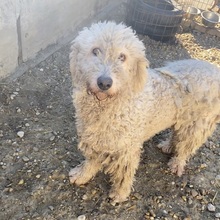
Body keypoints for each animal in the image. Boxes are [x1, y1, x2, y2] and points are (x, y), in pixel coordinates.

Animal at [69, 21, 220, 204]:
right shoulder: (94, 138)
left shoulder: (127, 149)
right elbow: (91, 160)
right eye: (95, 51)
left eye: (122, 57)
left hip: (196, 126)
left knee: (186, 146)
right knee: (176, 135)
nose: (104, 83)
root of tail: (215, 70)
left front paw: (120, 193)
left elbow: (124, 174)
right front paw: (82, 174)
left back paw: (177, 163)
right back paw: (168, 146)